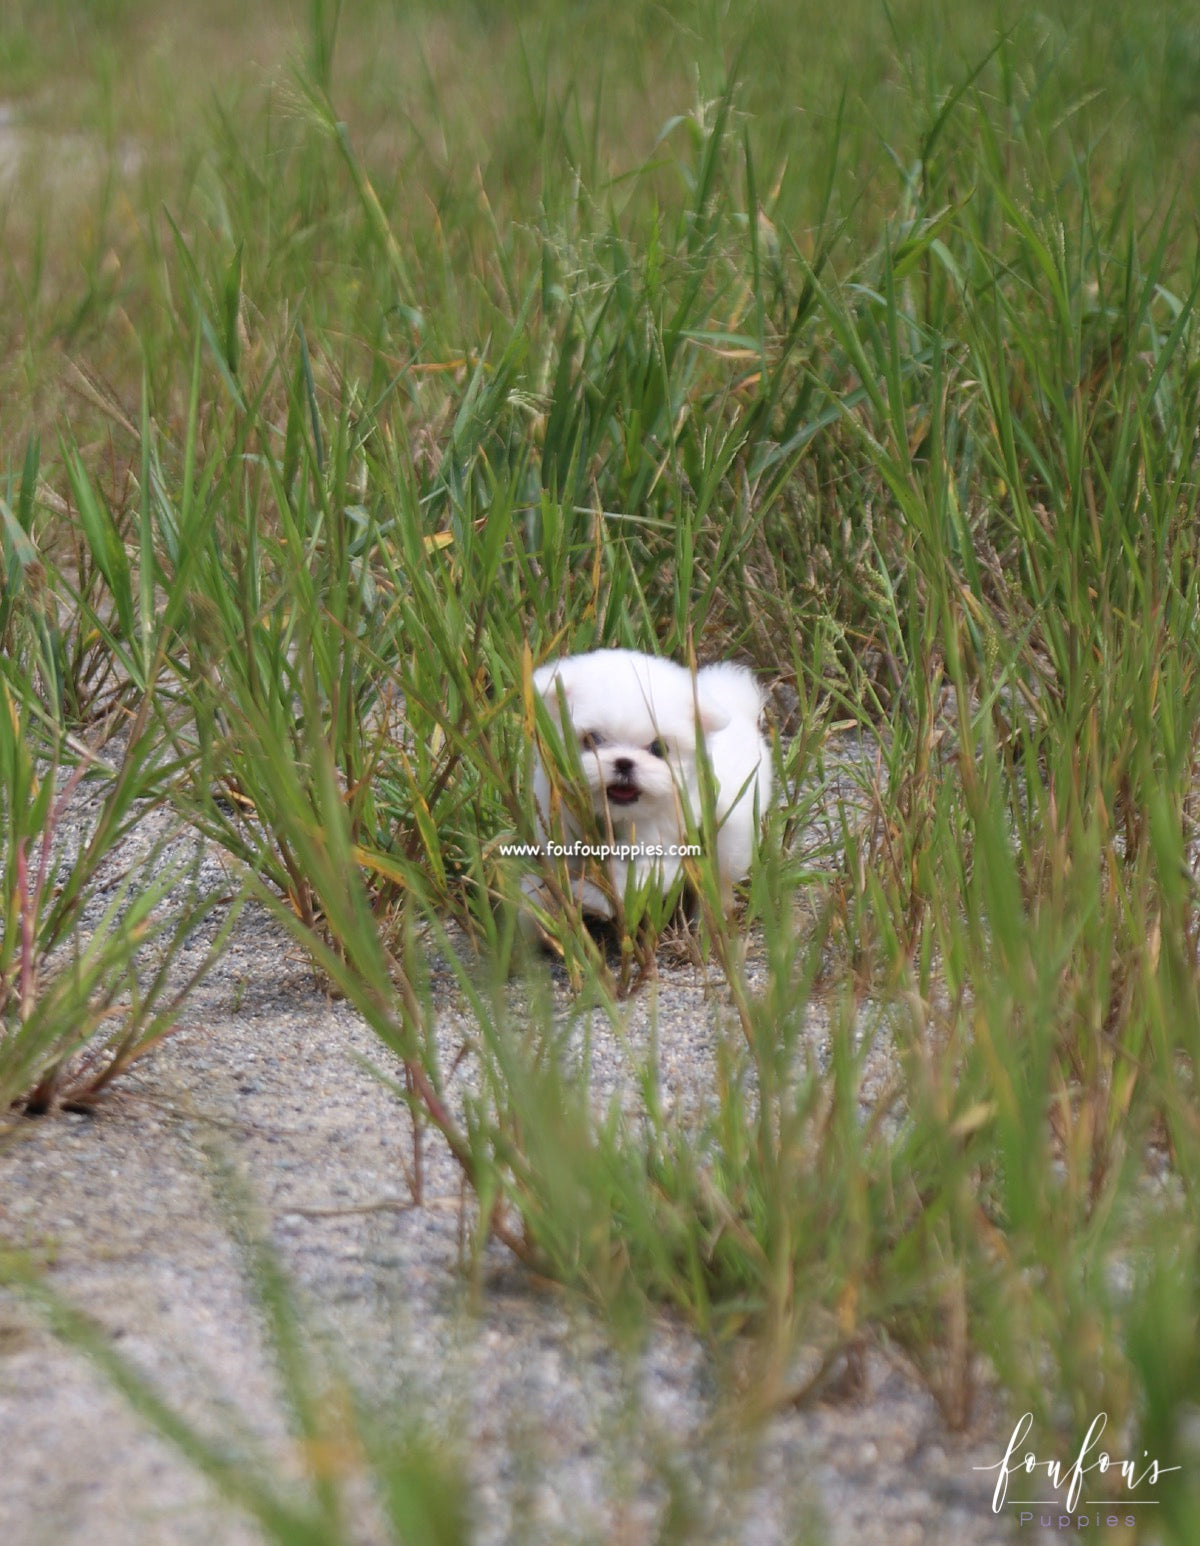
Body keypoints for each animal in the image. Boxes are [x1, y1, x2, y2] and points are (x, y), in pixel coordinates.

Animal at [525, 649, 770, 921]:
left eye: (658, 748)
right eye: (592, 740)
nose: (624, 762)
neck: (617, 815)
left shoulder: (660, 840)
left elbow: (632, 876)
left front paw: (594, 895)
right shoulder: (559, 819)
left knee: (720, 875)